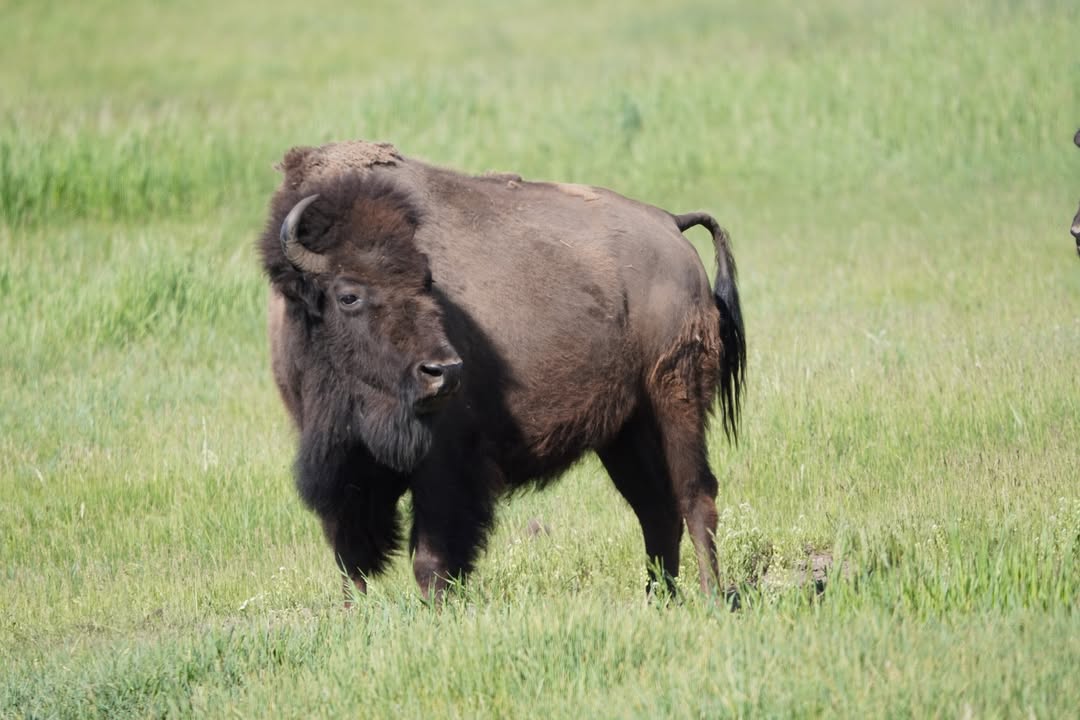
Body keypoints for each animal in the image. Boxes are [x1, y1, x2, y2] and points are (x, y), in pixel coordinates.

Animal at [260, 140, 746, 602]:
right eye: (348, 296)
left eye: (426, 282)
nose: (444, 371)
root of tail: (670, 224)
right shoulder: (341, 466)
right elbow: (351, 561)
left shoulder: (444, 465)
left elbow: (432, 558)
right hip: (626, 430)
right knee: (656, 509)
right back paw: (657, 599)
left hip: (676, 401)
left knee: (695, 495)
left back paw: (710, 598)